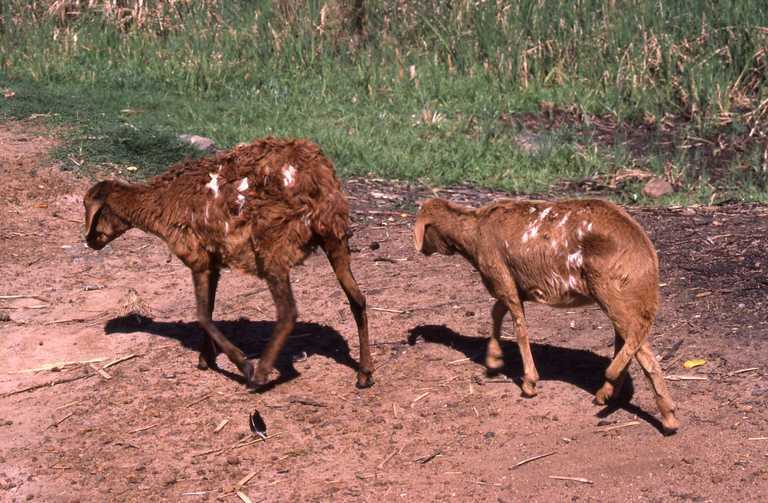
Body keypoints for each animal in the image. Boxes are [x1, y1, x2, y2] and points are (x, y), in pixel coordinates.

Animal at [82, 138, 374, 390]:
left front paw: (241, 363)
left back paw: (260, 373)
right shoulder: (213, 261)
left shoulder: (198, 258)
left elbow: (202, 314)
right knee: (357, 298)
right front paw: (205, 359)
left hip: (274, 244)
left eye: (93, 210)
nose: (90, 241)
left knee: (288, 311)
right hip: (334, 233)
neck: (158, 203)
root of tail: (315, 175)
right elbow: (208, 311)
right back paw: (365, 374)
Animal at [414, 199, 680, 436]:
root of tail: (648, 257)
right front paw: (494, 359)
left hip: (612, 292)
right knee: (629, 345)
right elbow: (497, 312)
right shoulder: (515, 286)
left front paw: (529, 384)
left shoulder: (501, 276)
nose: (423, 250)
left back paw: (668, 419)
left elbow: (519, 328)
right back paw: (607, 395)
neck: (472, 231)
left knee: (644, 354)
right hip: (625, 298)